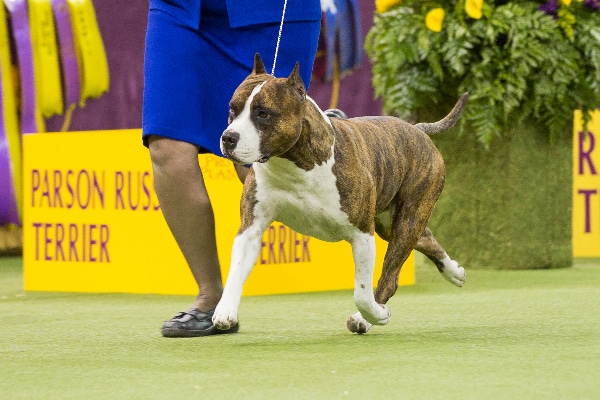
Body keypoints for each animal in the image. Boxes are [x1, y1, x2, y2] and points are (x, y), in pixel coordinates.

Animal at [213, 54, 466, 334]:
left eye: (263, 114)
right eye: (232, 110)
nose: (228, 137)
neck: (296, 164)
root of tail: (417, 129)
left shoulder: (361, 234)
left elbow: (362, 293)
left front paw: (373, 314)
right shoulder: (251, 228)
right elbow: (236, 271)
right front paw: (225, 311)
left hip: (408, 216)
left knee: (390, 276)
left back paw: (368, 317)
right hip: (390, 224)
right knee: (426, 237)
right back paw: (454, 271)